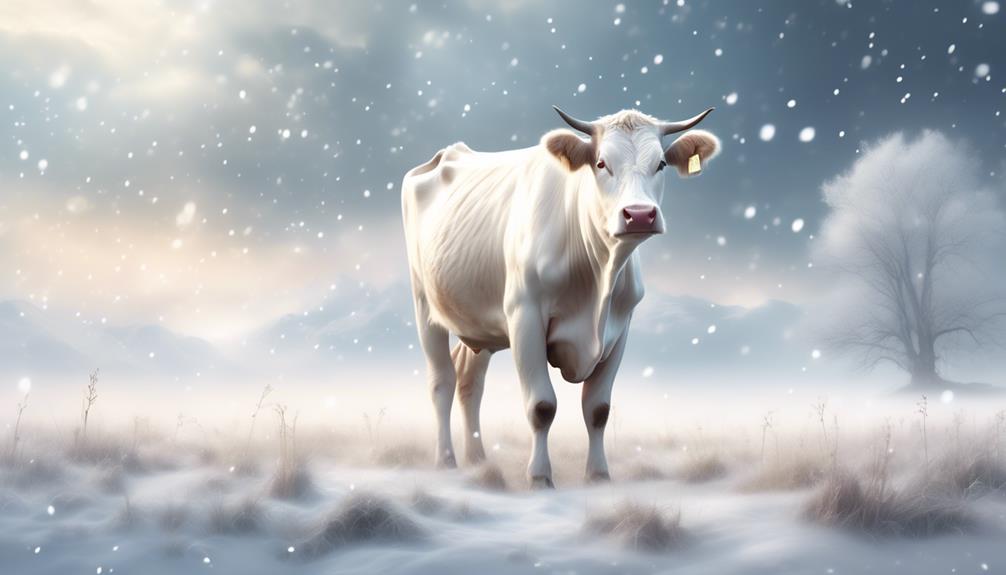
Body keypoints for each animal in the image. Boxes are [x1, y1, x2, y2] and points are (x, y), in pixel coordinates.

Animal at [401, 106, 720, 487]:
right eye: (601, 163)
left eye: (660, 164)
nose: (640, 214)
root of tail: (447, 153)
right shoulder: (524, 317)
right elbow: (541, 406)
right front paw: (539, 477)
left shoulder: (621, 327)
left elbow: (598, 410)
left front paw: (599, 475)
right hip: (425, 303)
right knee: (442, 381)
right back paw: (447, 461)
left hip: (478, 320)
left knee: (469, 381)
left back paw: (477, 461)